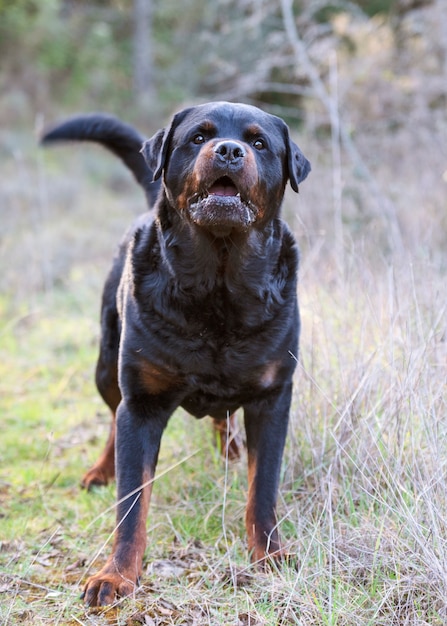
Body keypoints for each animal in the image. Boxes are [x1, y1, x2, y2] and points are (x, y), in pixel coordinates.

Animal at [42, 100, 310, 604]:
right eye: (198, 137)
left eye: (259, 142)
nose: (228, 150)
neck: (218, 287)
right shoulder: (143, 403)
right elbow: (132, 503)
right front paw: (117, 575)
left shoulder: (272, 399)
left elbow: (262, 487)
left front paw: (269, 553)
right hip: (106, 365)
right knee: (113, 417)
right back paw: (100, 471)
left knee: (224, 416)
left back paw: (229, 448)